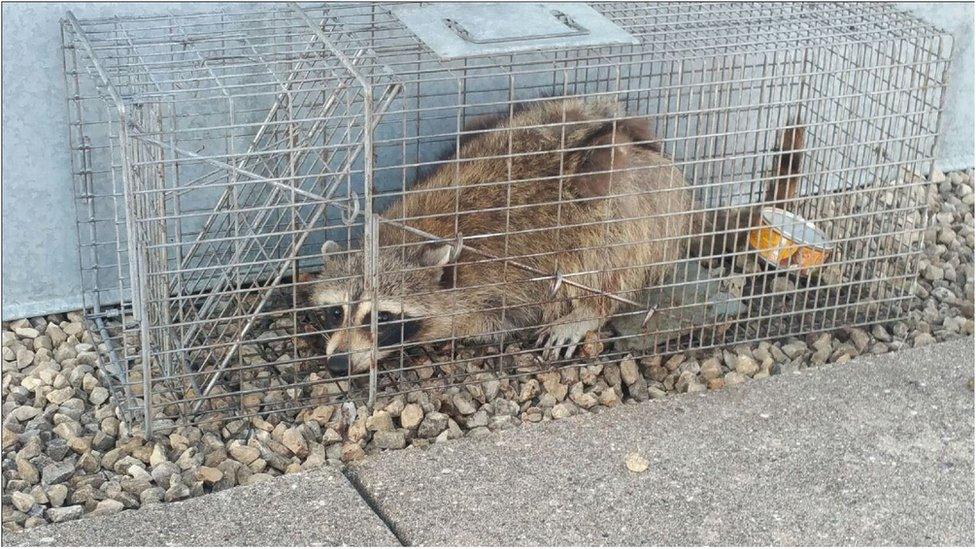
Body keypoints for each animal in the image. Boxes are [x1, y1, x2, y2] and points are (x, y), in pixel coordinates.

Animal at [310, 96, 800, 374]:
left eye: (381, 318)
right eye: (336, 312)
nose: (336, 364)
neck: (407, 237)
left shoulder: (500, 285)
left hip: (640, 204)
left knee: (613, 239)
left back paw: (589, 307)